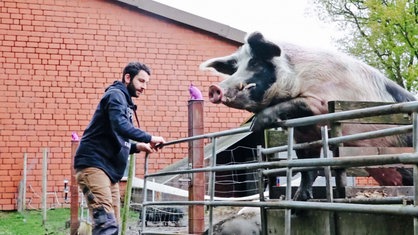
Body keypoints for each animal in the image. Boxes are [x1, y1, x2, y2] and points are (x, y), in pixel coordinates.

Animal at [201, 30, 416, 200]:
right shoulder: (304, 135)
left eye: (255, 63)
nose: (214, 88)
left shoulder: (321, 102)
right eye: (235, 69)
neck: (298, 76)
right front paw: (299, 201)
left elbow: (297, 104)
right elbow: (307, 167)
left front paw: (257, 124)